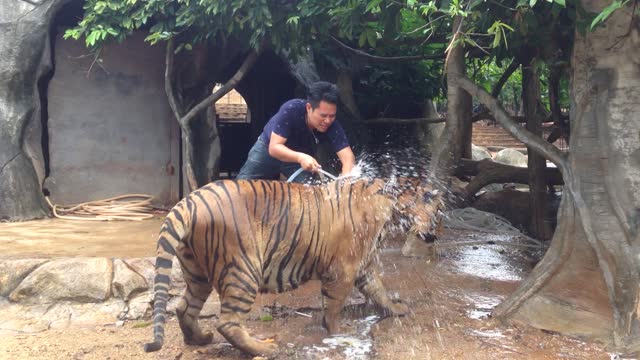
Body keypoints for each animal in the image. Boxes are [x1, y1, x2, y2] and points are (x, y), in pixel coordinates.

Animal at [144, 176, 444, 354]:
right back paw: (266, 349)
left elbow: (378, 290)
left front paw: (396, 309)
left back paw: (199, 339)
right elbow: (333, 306)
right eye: (437, 208)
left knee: (184, 308)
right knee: (227, 323)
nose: (435, 234)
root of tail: (188, 201)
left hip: (197, 272)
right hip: (242, 270)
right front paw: (339, 332)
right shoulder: (345, 268)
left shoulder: (363, 266)